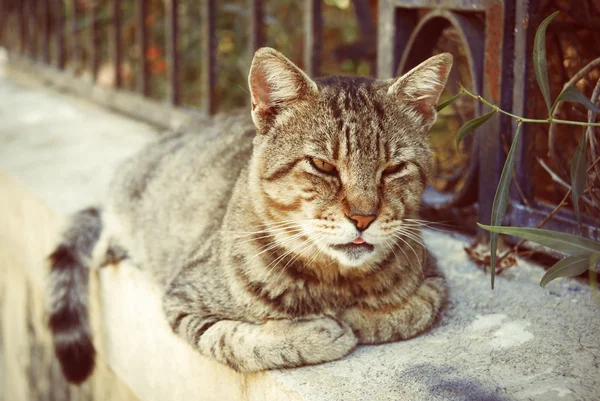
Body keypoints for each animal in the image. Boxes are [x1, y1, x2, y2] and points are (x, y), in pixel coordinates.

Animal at [47, 47, 452, 382]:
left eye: (393, 168)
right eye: (323, 165)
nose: (364, 218)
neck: (333, 283)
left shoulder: (432, 275)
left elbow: (414, 311)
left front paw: (358, 318)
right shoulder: (184, 299)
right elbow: (236, 341)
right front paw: (320, 332)